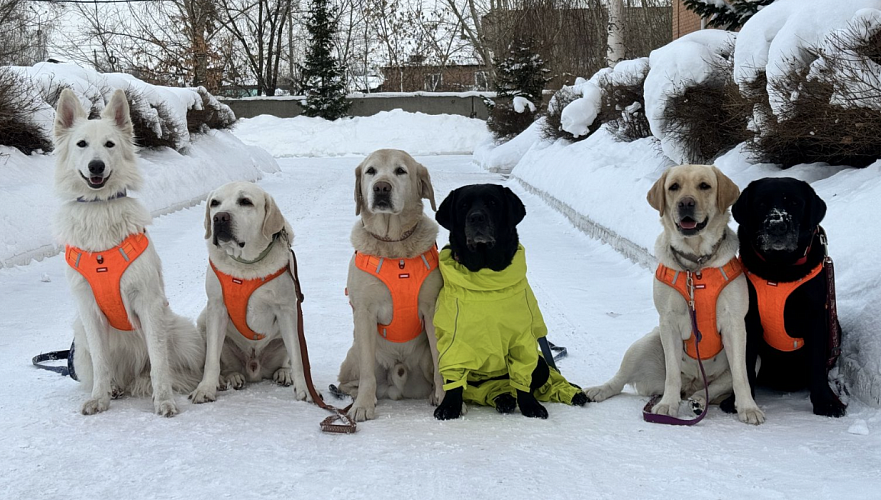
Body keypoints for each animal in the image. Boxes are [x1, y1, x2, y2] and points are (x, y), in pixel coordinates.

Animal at [54, 88, 205, 416]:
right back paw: (114, 388)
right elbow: (101, 364)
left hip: (180, 332)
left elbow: (159, 363)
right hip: (80, 341)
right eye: (81, 144)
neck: (99, 210)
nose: (96, 166)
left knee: (173, 368)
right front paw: (99, 398)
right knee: (111, 372)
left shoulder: (148, 303)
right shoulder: (89, 312)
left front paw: (164, 401)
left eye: (110, 144)